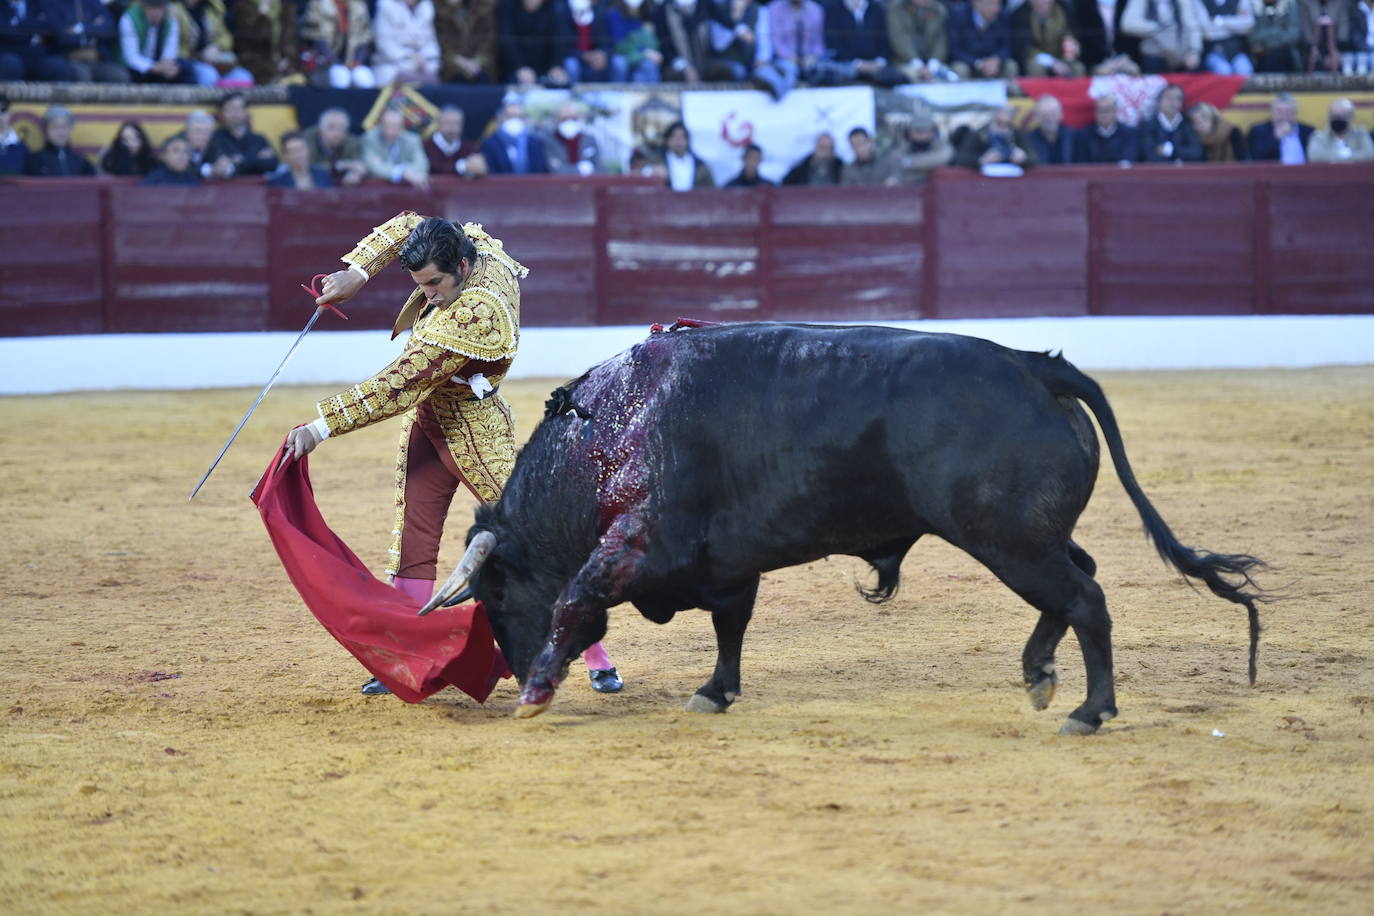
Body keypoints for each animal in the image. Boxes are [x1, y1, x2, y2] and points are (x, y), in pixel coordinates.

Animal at [420, 322, 1264, 736]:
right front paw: (715, 693)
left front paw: (537, 695)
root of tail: (1033, 365)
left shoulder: (636, 546)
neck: (604, 432)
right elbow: (731, 627)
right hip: (1027, 536)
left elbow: (576, 598)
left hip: (1007, 538)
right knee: (1076, 581)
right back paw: (1038, 674)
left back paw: (1089, 711)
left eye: (496, 595)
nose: (515, 669)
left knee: (1085, 599)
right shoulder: (728, 564)